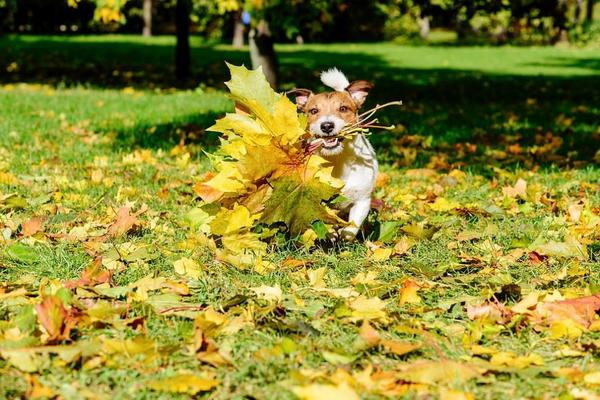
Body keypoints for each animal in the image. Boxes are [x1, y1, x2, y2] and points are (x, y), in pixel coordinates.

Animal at [290, 68, 376, 241]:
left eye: (343, 108)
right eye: (314, 111)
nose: (327, 125)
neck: (337, 160)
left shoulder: (363, 200)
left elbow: (352, 226)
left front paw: (345, 235)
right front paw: (330, 233)